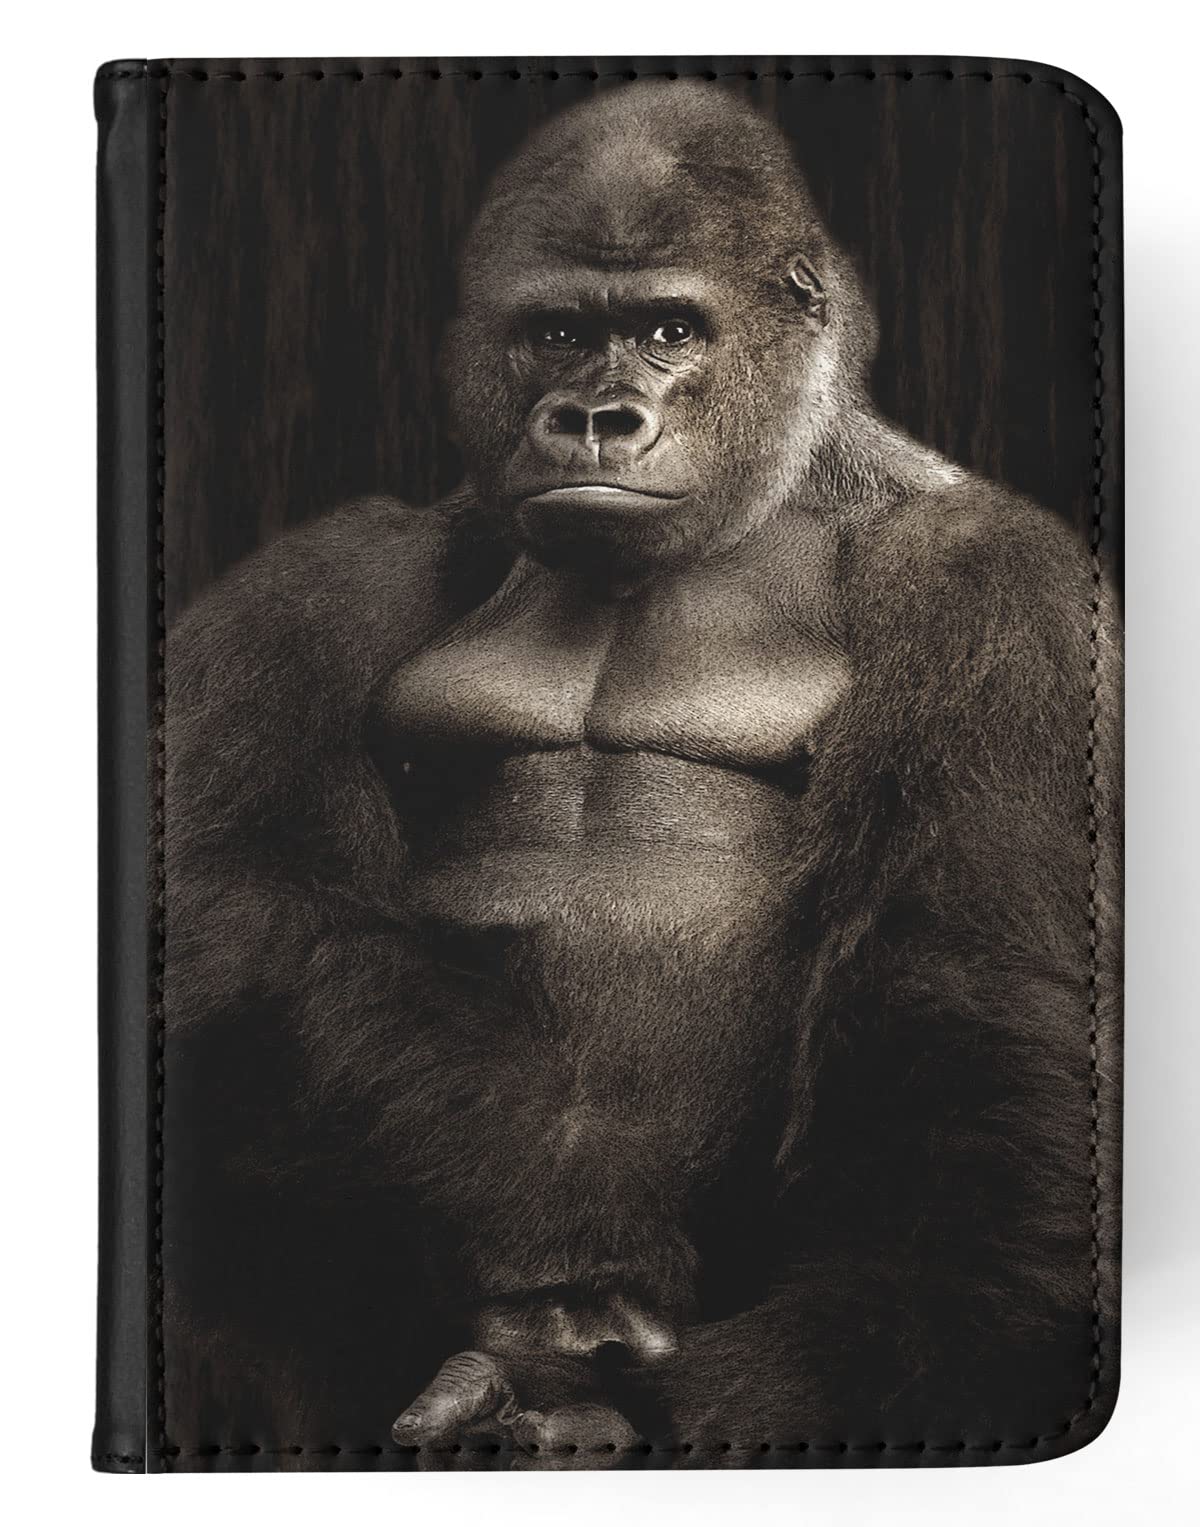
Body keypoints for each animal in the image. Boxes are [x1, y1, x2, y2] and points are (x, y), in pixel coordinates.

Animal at [162, 82, 1119, 1468]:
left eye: (671, 329)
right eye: (558, 333)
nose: (595, 418)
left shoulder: (1001, 590)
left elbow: (967, 994)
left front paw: (739, 1393)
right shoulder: (334, 575)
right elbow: (240, 903)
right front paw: (560, 1238)